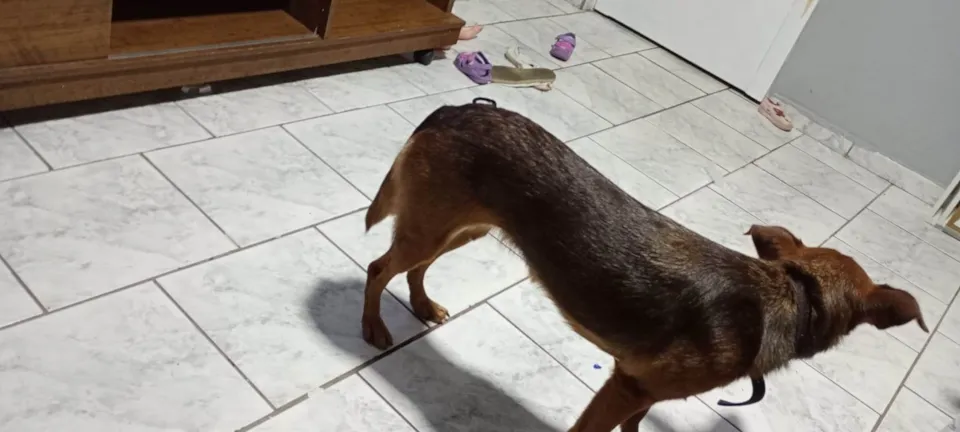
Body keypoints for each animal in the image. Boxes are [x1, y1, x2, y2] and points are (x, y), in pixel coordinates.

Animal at [359, 100, 927, 432]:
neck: (791, 296)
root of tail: (454, 109)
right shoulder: (626, 387)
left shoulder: (644, 392)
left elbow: (634, 427)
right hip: (431, 227)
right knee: (378, 268)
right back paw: (373, 327)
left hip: (459, 228)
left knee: (414, 268)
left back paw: (422, 307)